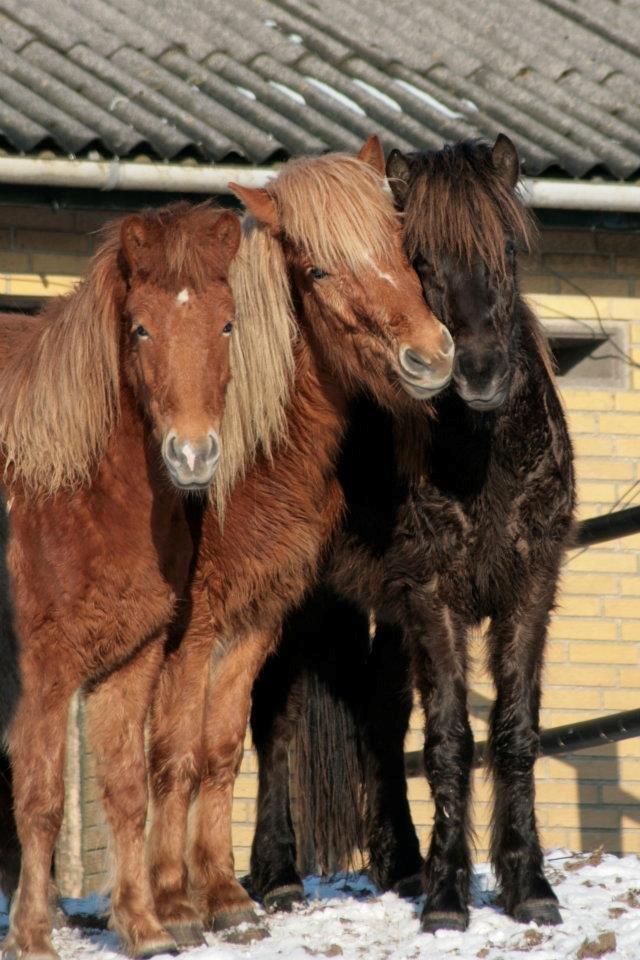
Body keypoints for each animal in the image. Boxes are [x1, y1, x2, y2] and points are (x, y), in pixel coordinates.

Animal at [0, 202, 240, 960]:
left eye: (228, 323)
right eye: (141, 328)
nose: (192, 455)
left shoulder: (130, 662)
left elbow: (129, 790)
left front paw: (142, 925)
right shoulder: (43, 673)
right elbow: (41, 802)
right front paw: (32, 936)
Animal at [146, 135, 456, 944]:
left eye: (400, 245)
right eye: (317, 269)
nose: (431, 357)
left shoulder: (256, 621)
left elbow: (220, 748)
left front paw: (222, 897)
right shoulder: (190, 636)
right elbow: (175, 755)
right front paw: (174, 905)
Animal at [249, 133, 576, 928]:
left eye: (508, 250)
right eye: (420, 260)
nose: (479, 374)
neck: (481, 464)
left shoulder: (527, 590)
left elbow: (515, 732)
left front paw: (527, 885)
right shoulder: (435, 599)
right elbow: (450, 738)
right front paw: (449, 897)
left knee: (378, 716)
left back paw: (398, 862)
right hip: (298, 601)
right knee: (273, 717)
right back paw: (277, 874)